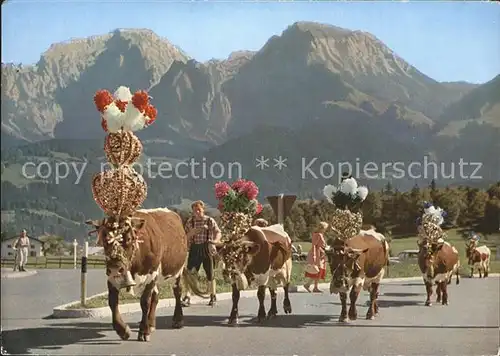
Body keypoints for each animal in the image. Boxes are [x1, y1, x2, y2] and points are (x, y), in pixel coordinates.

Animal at [86, 209, 209, 342]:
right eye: (105, 239)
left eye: (129, 239)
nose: (115, 268)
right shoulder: (112, 277)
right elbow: (112, 302)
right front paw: (122, 330)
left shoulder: (151, 274)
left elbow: (145, 302)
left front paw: (144, 331)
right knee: (155, 297)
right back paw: (151, 324)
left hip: (177, 271)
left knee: (177, 291)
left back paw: (177, 320)